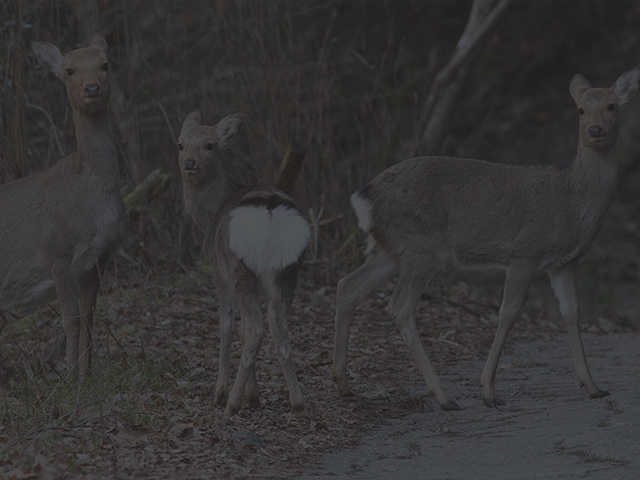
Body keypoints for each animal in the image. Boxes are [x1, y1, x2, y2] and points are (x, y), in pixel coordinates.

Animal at [0, 34, 124, 378]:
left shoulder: (99, 260)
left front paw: (89, 373)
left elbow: (89, 319)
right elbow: (70, 321)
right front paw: (71, 378)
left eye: (104, 64)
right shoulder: (57, 254)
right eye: (69, 70)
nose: (92, 89)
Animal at [179, 110, 312, 418]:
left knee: (255, 327)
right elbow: (240, 328)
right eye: (180, 144)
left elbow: (228, 325)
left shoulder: (219, 272)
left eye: (209, 145)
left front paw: (222, 392)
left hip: (239, 267)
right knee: (277, 323)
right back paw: (297, 400)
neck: (209, 216)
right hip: (287, 270)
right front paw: (255, 396)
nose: (189, 163)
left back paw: (231, 402)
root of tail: (270, 210)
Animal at [332, 67, 640, 410]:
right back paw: (443, 397)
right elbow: (509, 312)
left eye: (612, 106)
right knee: (399, 306)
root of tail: (365, 196)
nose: (595, 130)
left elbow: (572, 312)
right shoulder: (526, 252)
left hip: (389, 249)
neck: (575, 201)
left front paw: (593, 386)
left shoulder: (565, 262)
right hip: (421, 245)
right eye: (581, 110)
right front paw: (488, 390)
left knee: (348, 286)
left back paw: (343, 384)